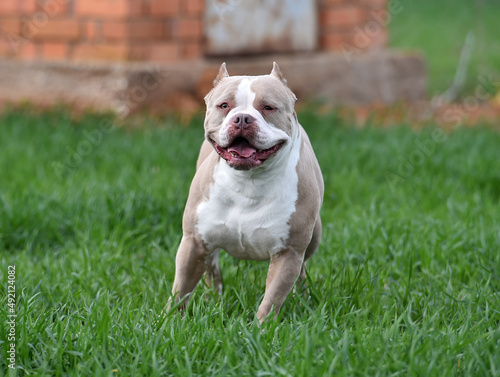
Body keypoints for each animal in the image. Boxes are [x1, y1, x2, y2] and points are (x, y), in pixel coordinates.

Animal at [169, 62, 324, 324]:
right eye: (224, 105)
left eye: (268, 107)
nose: (242, 118)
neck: (248, 182)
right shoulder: (193, 243)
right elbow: (180, 290)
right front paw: (168, 322)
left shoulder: (288, 253)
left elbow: (271, 301)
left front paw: (260, 329)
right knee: (212, 271)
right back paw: (213, 300)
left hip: (314, 237)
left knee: (303, 271)